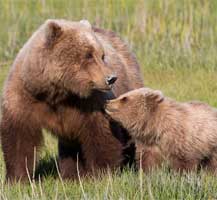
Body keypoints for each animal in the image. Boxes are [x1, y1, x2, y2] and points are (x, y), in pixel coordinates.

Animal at [0, 19, 144, 181]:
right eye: (88, 55)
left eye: (102, 56)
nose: (111, 78)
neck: (58, 92)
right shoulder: (24, 96)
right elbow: (19, 137)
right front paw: (17, 178)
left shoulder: (91, 102)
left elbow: (102, 133)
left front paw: (101, 173)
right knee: (70, 146)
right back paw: (71, 174)